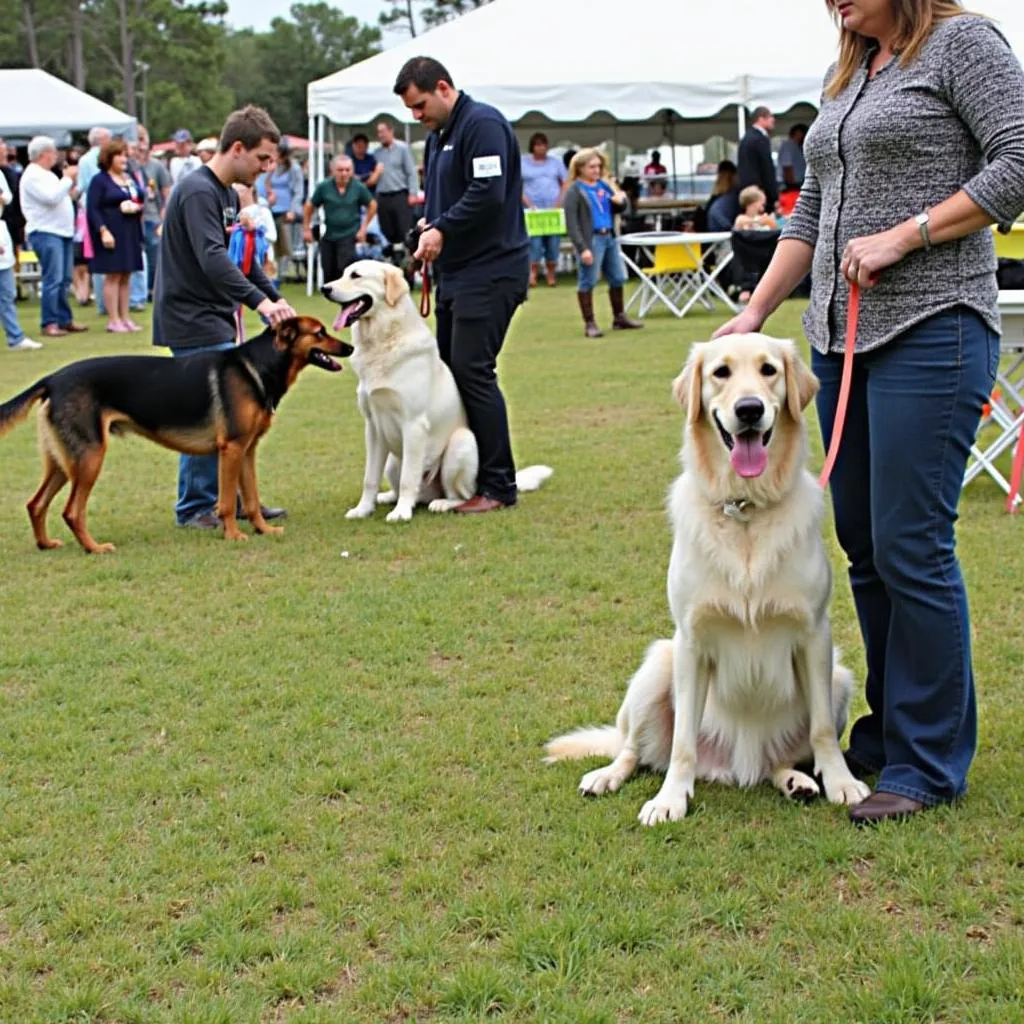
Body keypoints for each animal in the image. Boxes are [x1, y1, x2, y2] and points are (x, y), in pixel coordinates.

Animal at [0, 317, 352, 552]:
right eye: (320, 332)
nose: (349, 346)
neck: (257, 366)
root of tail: (52, 378)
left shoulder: (247, 452)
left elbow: (251, 500)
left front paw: (264, 530)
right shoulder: (231, 450)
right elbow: (227, 502)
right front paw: (233, 536)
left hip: (64, 461)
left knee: (35, 504)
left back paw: (46, 544)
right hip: (89, 458)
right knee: (72, 511)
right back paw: (95, 548)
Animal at [323, 260, 552, 524]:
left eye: (356, 275)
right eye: (342, 274)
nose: (324, 288)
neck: (384, 338)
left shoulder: (414, 425)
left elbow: (408, 478)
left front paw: (401, 513)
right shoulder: (373, 426)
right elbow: (369, 477)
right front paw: (363, 509)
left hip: (461, 443)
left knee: (459, 495)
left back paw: (443, 503)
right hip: (392, 459)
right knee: (403, 487)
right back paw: (388, 497)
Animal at [544, 335, 872, 823]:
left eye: (769, 370)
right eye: (721, 373)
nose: (750, 409)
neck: (746, 510)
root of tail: (737, 767)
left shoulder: (815, 635)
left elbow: (822, 732)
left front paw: (840, 781)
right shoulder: (691, 640)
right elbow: (682, 742)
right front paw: (669, 799)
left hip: (839, 679)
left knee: (780, 759)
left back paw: (795, 781)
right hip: (656, 666)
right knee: (634, 749)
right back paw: (606, 776)